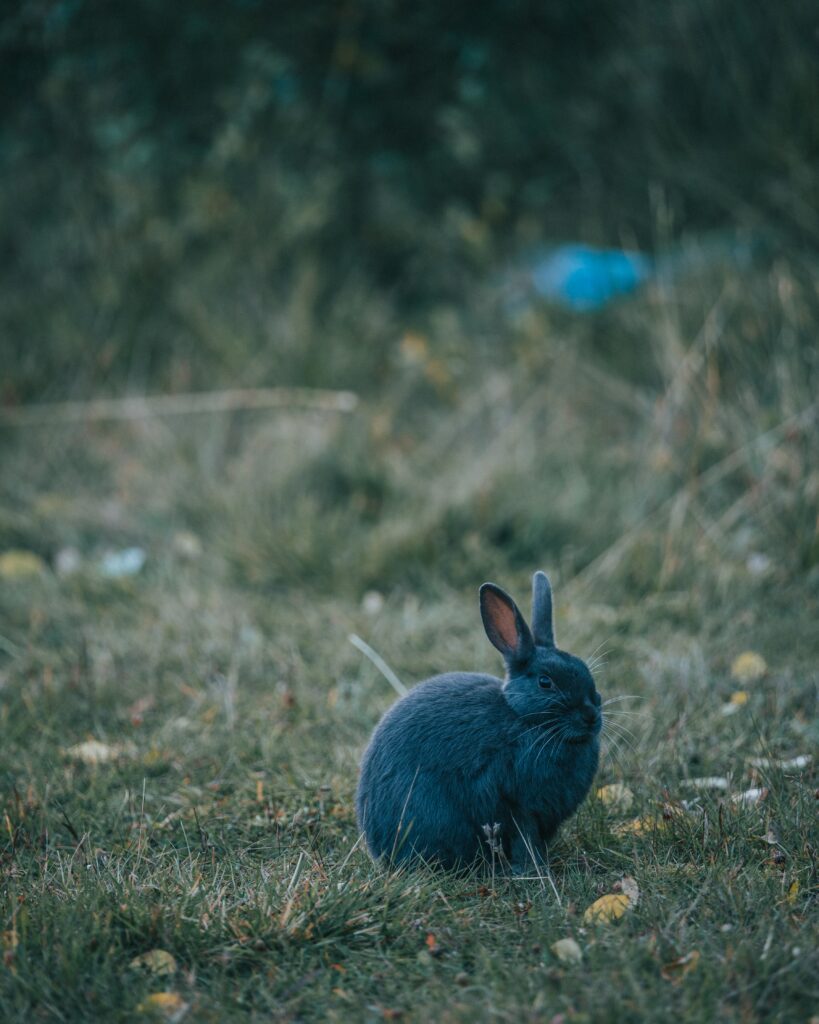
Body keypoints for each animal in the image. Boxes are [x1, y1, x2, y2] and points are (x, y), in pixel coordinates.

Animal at [355, 571, 602, 871]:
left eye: (586, 672)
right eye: (546, 682)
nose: (591, 715)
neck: (525, 720)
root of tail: (377, 846)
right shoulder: (516, 805)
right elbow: (524, 839)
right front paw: (532, 870)